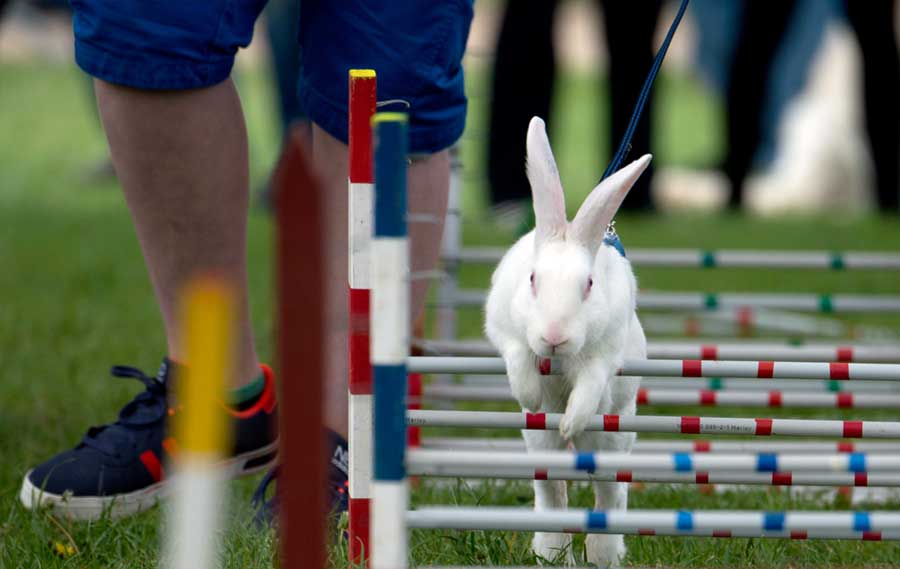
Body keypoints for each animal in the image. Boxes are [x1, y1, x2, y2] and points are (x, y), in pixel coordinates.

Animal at [486, 116, 648, 568]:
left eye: (588, 285)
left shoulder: (604, 357)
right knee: (551, 490)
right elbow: (517, 356)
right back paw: (552, 552)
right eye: (532, 279)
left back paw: (603, 554)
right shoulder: (504, 330)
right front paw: (529, 395)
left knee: (609, 492)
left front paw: (571, 419)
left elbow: (590, 384)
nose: (554, 336)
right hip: (539, 444)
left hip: (614, 437)